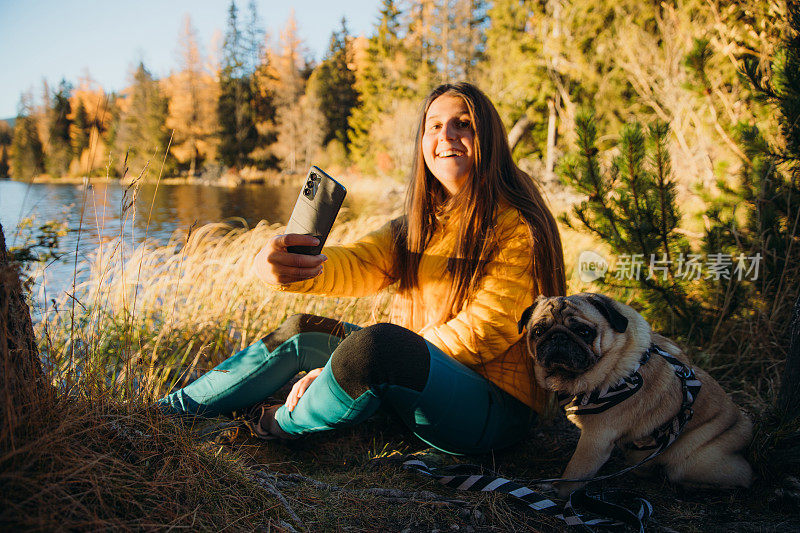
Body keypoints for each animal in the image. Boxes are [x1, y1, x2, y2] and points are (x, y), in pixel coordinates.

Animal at [516, 294, 752, 496]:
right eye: (538, 332)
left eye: (583, 332)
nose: (557, 337)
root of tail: (744, 430)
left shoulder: (596, 439)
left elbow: (574, 471)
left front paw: (558, 491)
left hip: (692, 461)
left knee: (744, 477)